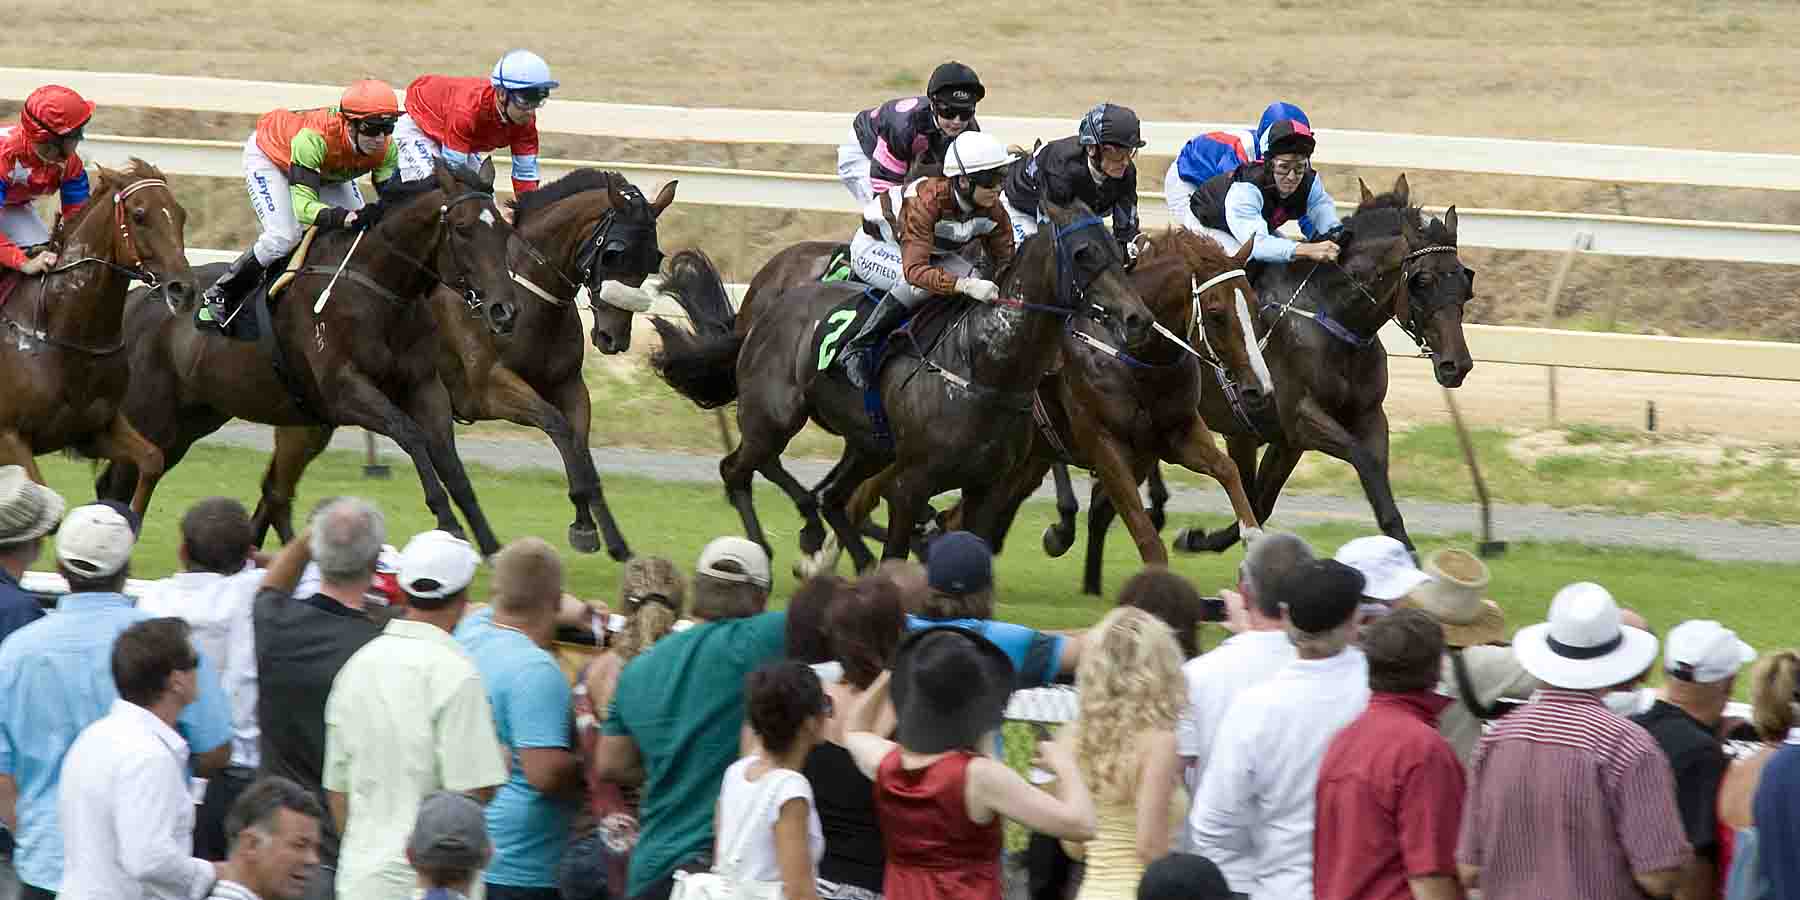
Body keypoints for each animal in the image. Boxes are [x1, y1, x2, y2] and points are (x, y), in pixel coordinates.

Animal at [0, 160, 193, 514]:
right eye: (139, 215)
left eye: (181, 214)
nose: (184, 290)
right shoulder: (10, 437)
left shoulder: (95, 428)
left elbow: (152, 460)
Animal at [99, 162, 522, 554]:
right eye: (463, 228)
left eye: (504, 230)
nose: (504, 310)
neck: (379, 289)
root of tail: (135, 301)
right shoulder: (345, 391)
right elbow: (411, 435)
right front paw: (448, 523)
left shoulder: (424, 386)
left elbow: (451, 465)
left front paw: (491, 546)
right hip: (152, 414)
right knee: (121, 479)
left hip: (197, 418)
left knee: (263, 490)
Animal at [252, 167, 676, 554]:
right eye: (615, 253)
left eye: (654, 258)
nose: (614, 337)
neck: (529, 298)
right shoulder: (488, 388)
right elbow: (558, 427)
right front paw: (584, 522)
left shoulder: (569, 385)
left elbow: (579, 444)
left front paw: (605, 533)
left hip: (308, 417)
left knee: (274, 490)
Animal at [655, 199, 1144, 568]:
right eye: (1083, 253)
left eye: (1119, 253)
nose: (1137, 317)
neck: (983, 365)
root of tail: (760, 313)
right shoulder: (910, 484)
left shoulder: (985, 487)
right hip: (773, 419)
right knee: (739, 470)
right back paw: (772, 548)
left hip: (867, 445)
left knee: (830, 497)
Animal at [1072, 175, 1468, 565]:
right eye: (1422, 281)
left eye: (1466, 281)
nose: (1458, 365)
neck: (1329, 318)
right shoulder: (1299, 418)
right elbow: (1363, 462)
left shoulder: (1336, 426)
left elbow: (1261, 502)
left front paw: (1203, 539)